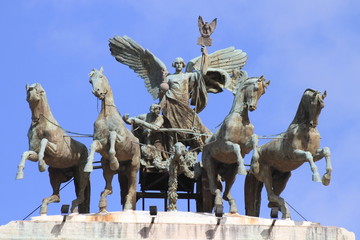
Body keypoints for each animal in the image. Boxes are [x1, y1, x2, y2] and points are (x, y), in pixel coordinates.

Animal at [84, 66, 141, 211]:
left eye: (101, 77)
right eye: (90, 81)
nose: (97, 92)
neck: (106, 115)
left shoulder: (122, 141)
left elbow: (113, 136)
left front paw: (114, 161)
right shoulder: (101, 143)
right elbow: (94, 145)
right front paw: (88, 166)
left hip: (133, 166)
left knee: (132, 188)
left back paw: (127, 207)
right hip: (107, 169)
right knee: (109, 188)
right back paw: (102, 204)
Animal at [202, 76, 270, 213]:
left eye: (263, 92)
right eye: (256, 88)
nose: (252, 107)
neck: (241, 119)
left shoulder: (246, 148)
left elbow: (254, 140)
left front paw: (255, 165)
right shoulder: (225, 145)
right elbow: (236, 147)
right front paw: (243, 169)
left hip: (231, 171)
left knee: (226, 193)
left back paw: (233, 206)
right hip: (210, 165)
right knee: (214, 188)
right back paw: (218, 202)